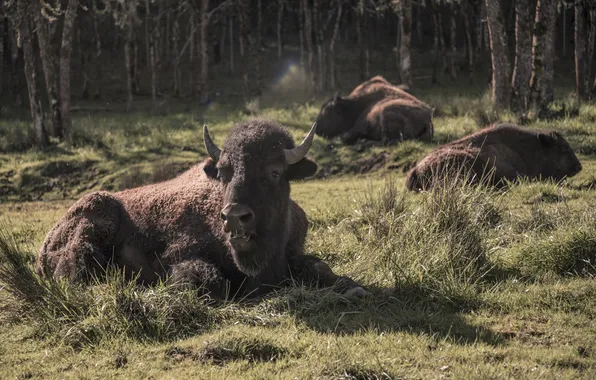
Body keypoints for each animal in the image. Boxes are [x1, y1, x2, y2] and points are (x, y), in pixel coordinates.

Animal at [36, 120, 368, 298]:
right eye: (222, 172)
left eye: (274, 172)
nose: (235, 217)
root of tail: (45, 244)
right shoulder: (178, 256)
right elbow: (210, 281)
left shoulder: (295, 252)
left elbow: (320, 268)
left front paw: (353, 288)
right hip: (92, 225)